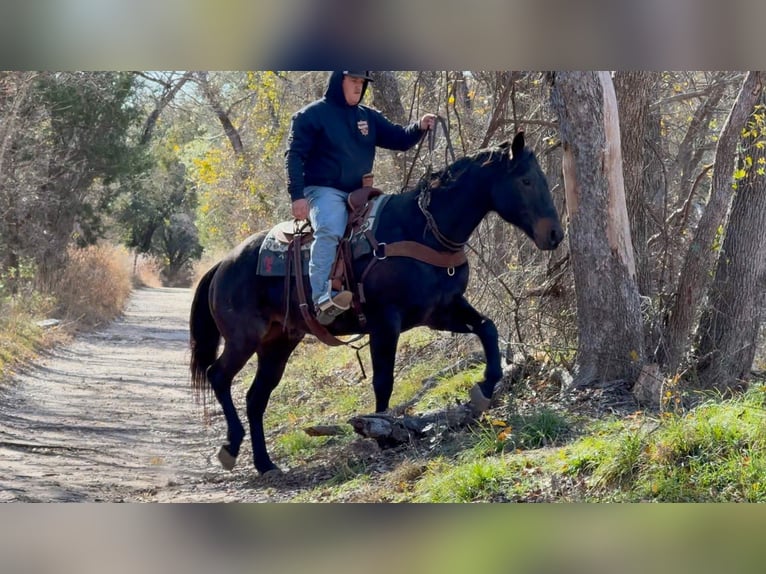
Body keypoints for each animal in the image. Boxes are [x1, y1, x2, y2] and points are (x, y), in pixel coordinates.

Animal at [189, 132, 563, 476]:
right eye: (526, 180)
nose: (555, 235)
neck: (421, 229)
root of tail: (224, 264)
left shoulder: (441, 311)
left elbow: (487, 328)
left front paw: (485, 387)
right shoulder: (386, 322)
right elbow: (384, 380)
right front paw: (384, 433)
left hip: (278, 343)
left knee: (255, 398)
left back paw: (265, 464)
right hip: (244, 338)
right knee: (218, 375)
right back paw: (231, 446)